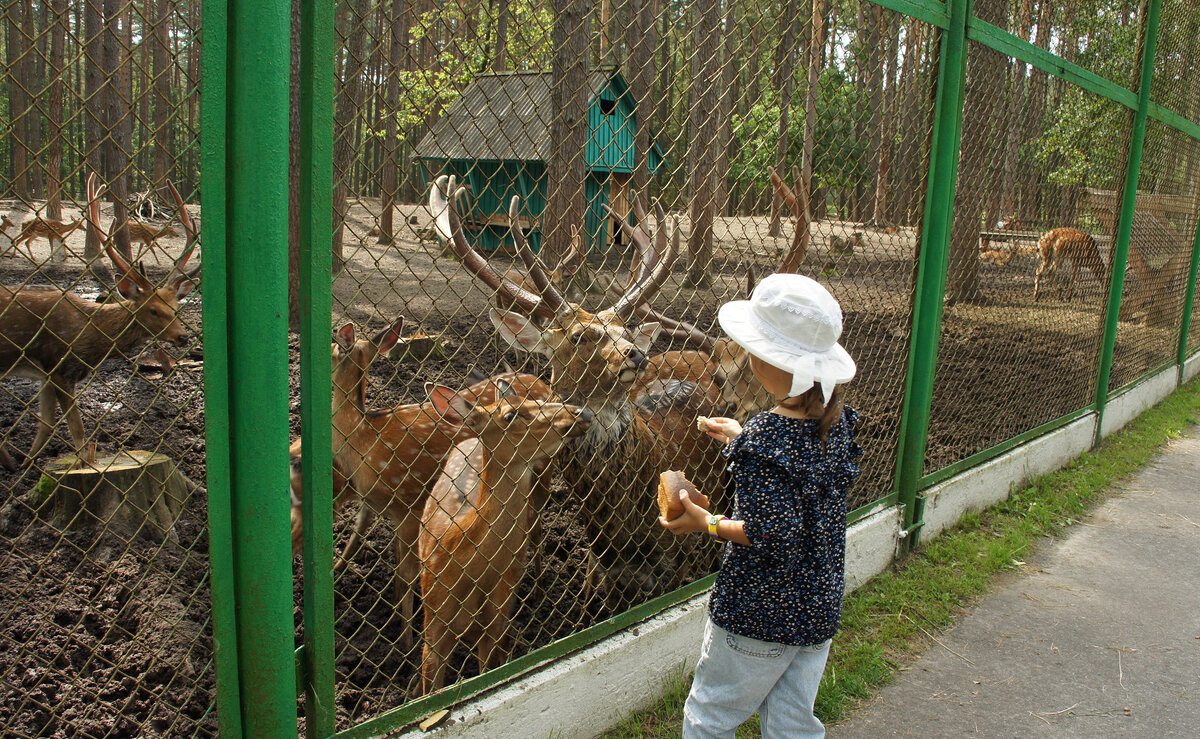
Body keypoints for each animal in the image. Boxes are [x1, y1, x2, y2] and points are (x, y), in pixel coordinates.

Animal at [0, 171, 199, 467]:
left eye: (176, 307)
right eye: (152, 310)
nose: (183, 336)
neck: (88, 338)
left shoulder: (47, 373)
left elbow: (45, 426)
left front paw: (24, 464)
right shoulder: (58, 367)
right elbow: (77, 429)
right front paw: (84, 463)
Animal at [288, 316, 554, 647]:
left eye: (332, 345)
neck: (364, 440)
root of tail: (545, 384)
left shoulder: (408, 504)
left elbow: (406, 574)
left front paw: (406, 639)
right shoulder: (380, 506)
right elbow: (375, 549)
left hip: (543, 468)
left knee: (537, 524)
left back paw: (539, 587)